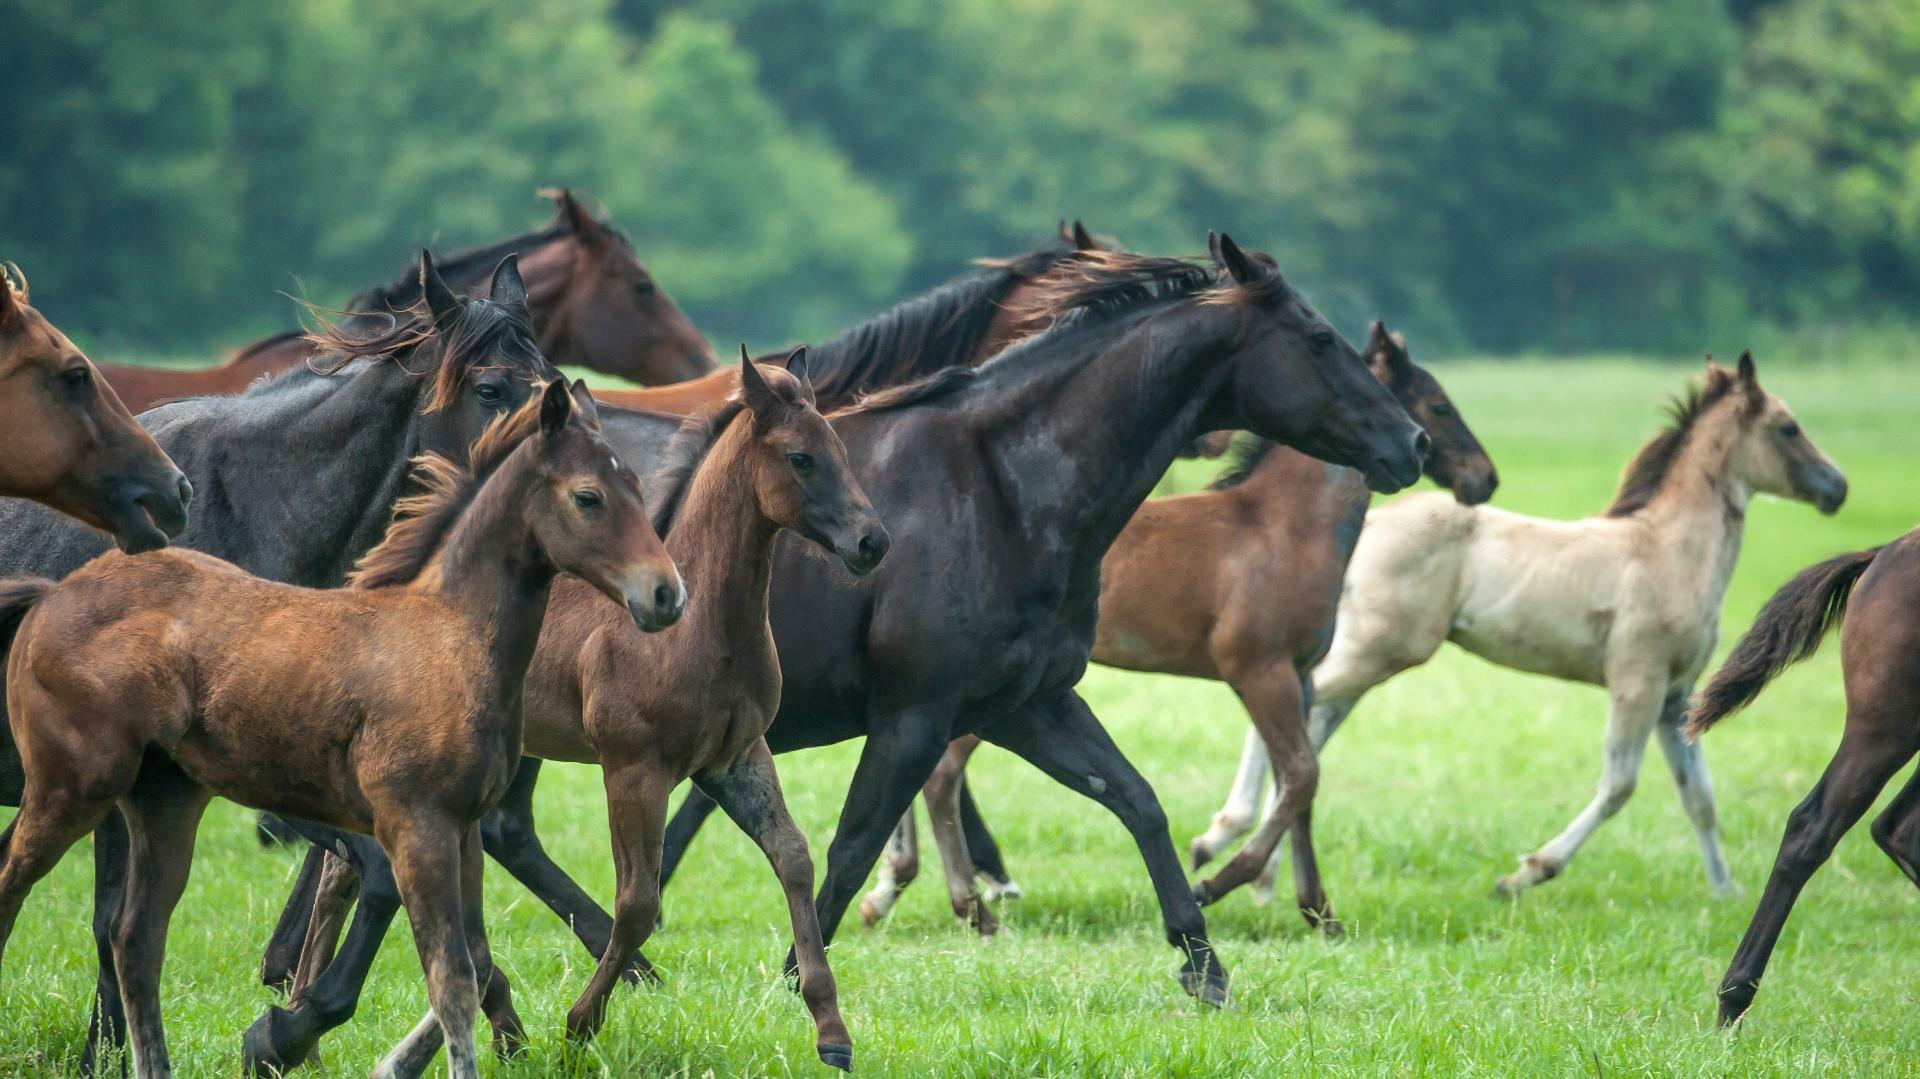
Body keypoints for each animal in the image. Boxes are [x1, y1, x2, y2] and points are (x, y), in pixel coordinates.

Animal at [0, 380, 680, 1079]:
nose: (665, 595)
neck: (451, 633)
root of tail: (51, 594)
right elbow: (453, 978)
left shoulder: (462, 831)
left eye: (637, 486)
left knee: (136, 938)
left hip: (166, 801)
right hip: (71, 789)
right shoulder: (417, 827)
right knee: (15, 890)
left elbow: (473, 963)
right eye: (588, 496)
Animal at [857, 322, 1499, 934]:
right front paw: (1214, 880)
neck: (1286, 526)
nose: (1483, 478)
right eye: (1437, 405)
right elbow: (1299, 776)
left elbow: (1302, 790)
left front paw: (1319, 910)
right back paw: (959, 903)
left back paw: (898, 891)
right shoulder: (1258, 672)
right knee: (942, 776)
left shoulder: (1302, 676)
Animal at [1302, 353, 1846, 897]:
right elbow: (1620, 785)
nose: (1837, 486)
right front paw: (1526, 874)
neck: (1669, 551)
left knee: (1313, 726)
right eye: (1788, 428)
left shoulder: (1676, 698)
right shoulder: (1637, 682)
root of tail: (1371, 523)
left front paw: (1725, 893)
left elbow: (1700, 797)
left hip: (1369, 658)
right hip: (1378, 651)